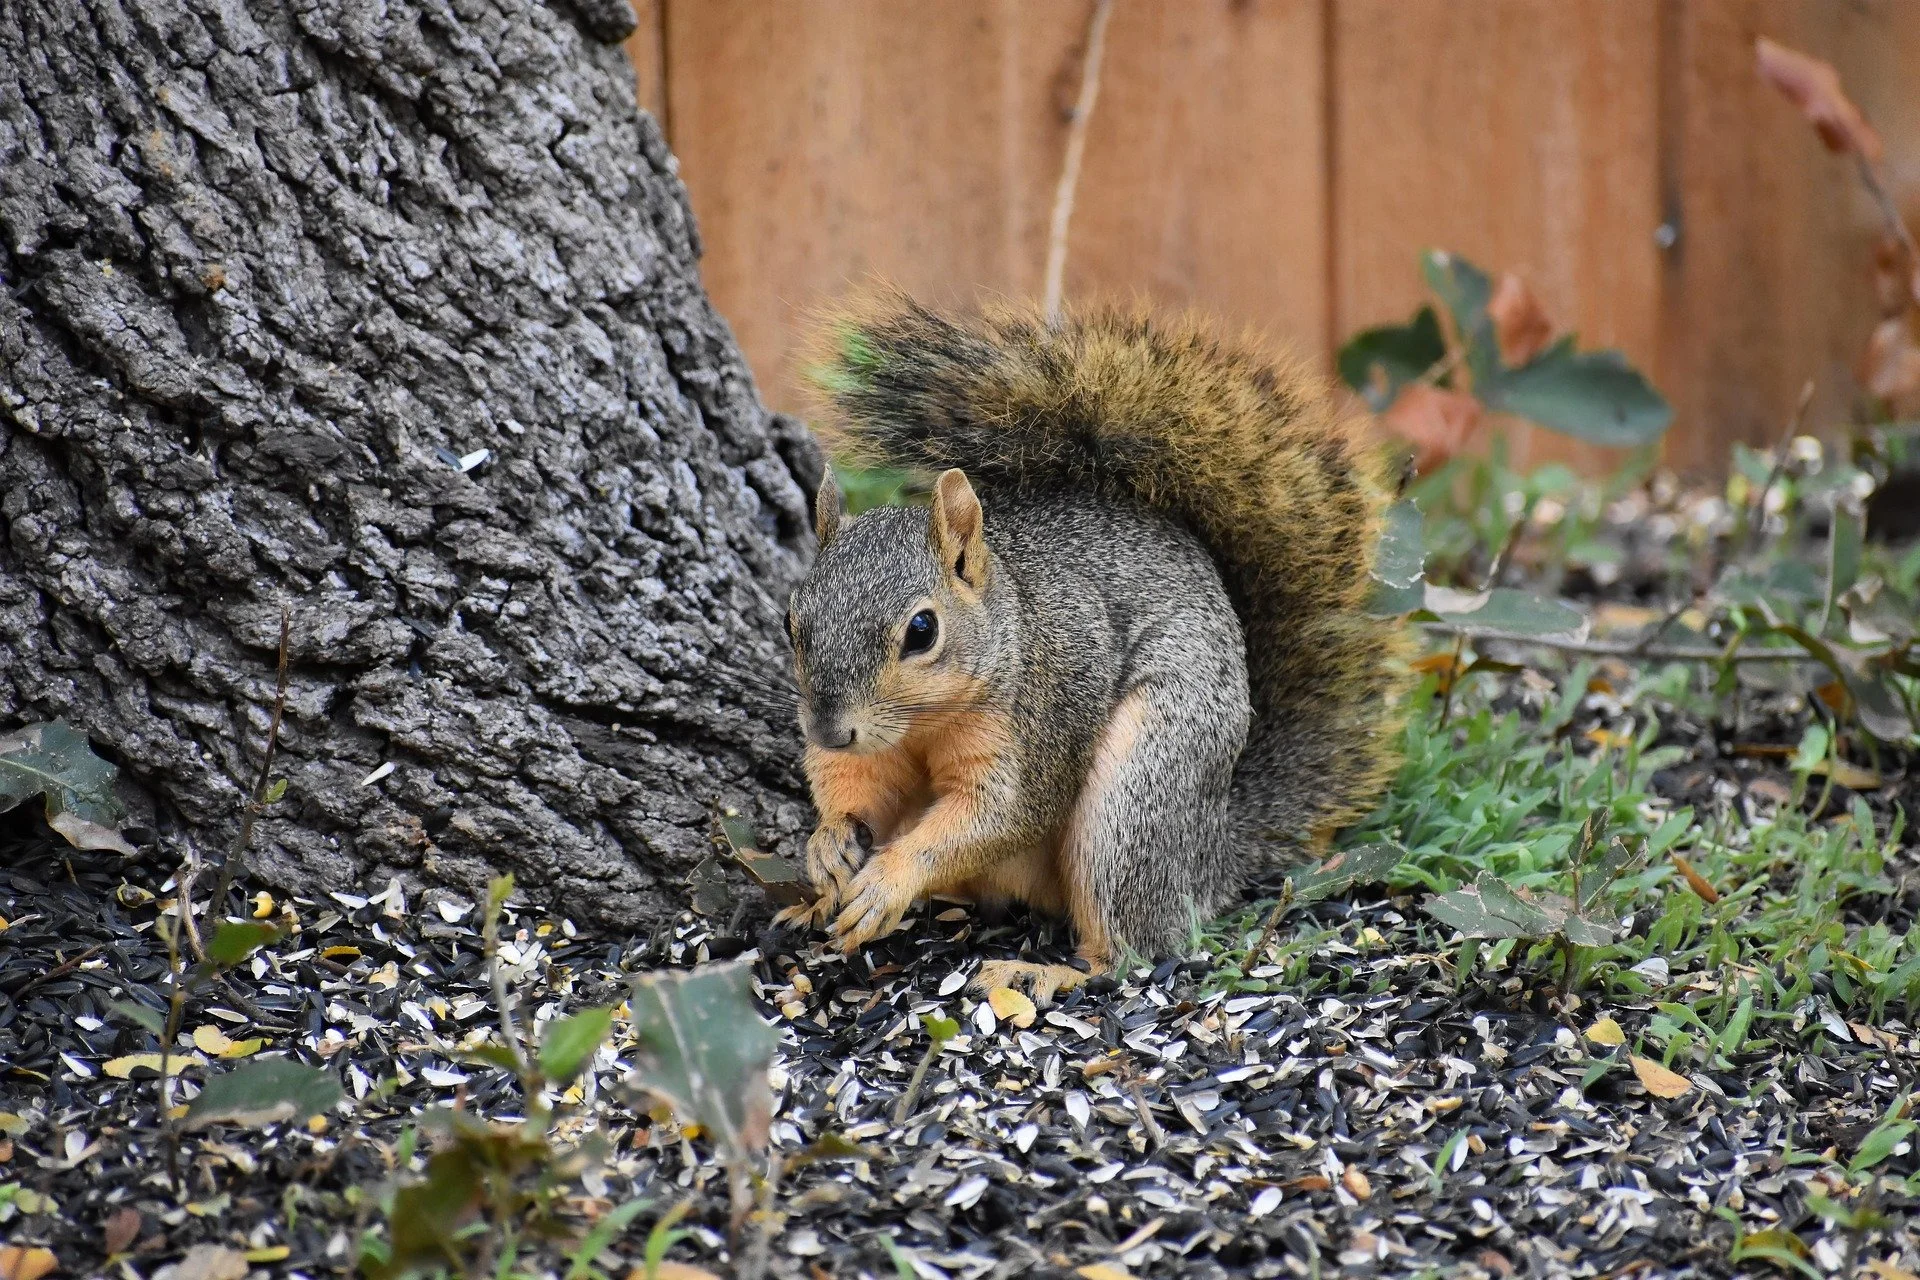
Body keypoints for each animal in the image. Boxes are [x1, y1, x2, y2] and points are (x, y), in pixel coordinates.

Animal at [774, 292, 1412, 1001]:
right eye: (792, 620)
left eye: (922, 630)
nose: (829, 730)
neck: (925, 721)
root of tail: (1210, 853)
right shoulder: (872, 752)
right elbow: (855, 788)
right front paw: (827, 845)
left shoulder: (1039, 720)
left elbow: (1003, 814)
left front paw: (888, 879)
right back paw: (814, 906)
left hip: (1138, 792)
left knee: (1133, 948)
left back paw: (1041, 971)